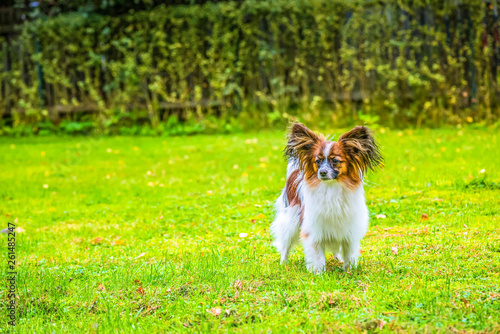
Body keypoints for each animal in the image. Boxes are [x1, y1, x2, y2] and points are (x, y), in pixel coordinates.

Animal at [270, 123, 382, 274]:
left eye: (335, 161)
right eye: (317, 161)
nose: (322, 172)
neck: (331, 188)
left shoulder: (349, 231)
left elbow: (349, 254)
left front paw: (349, 271)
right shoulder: (313, 230)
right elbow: (317, 258)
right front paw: (318, 274)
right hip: (290, 221)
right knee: (285, 245)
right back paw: (284, 263)